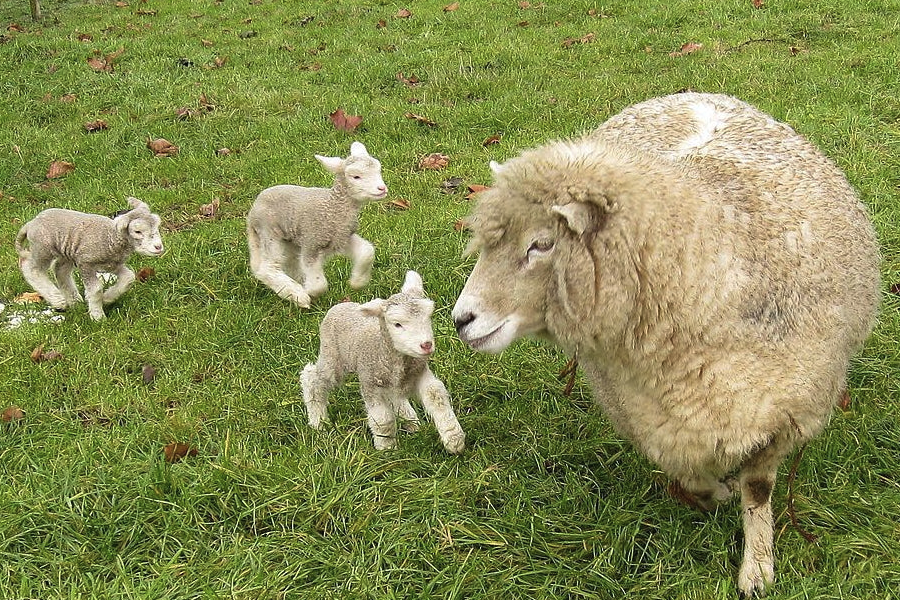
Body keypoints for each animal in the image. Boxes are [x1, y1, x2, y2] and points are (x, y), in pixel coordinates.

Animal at [14, 197, 165, 322]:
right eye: (137, 231)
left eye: (157, 226)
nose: (158, 247)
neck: (111, 237)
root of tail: (31, 223)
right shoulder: (86, 263)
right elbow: (96, 289)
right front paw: (98, 316)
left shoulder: (112, 265)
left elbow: (129, 277)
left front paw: (107, 298)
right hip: (43, 248)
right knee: (31, 268)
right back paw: (58, 300)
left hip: (66, 251)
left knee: (60, 270)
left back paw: (74, 300)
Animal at [246, 142, 386, 308]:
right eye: (356, 176)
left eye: (378, 170)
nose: (382, 189)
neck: (333, 209)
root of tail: (252, 212)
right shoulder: (312, 242)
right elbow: (319, 285)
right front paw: (310, 292)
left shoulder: (342, 238)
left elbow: (367, 252)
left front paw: (357, 282)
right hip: (269, 232)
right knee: (267, 268)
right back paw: (297, 295)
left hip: (290, 240)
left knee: (290, 263)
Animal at [302, 272, 468, 454]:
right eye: (397, 324)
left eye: (428, 317)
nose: (426, 345)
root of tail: (339, 306)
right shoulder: (370, 384)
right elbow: (383, 419)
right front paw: (386, 449)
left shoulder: (420, 372)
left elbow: (436, 396)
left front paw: (453, 439)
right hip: (332, 356)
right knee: (312, 378)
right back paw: (318, 422)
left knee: (396, 397)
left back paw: (411, 422)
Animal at [450, 92, 880, 596]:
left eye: (541, 244)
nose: (461, 320)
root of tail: (694, 93)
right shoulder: (650, 419)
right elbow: (692, 476)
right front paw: (718, 494)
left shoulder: (782, 414)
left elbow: (758, 490)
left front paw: (757, 568)